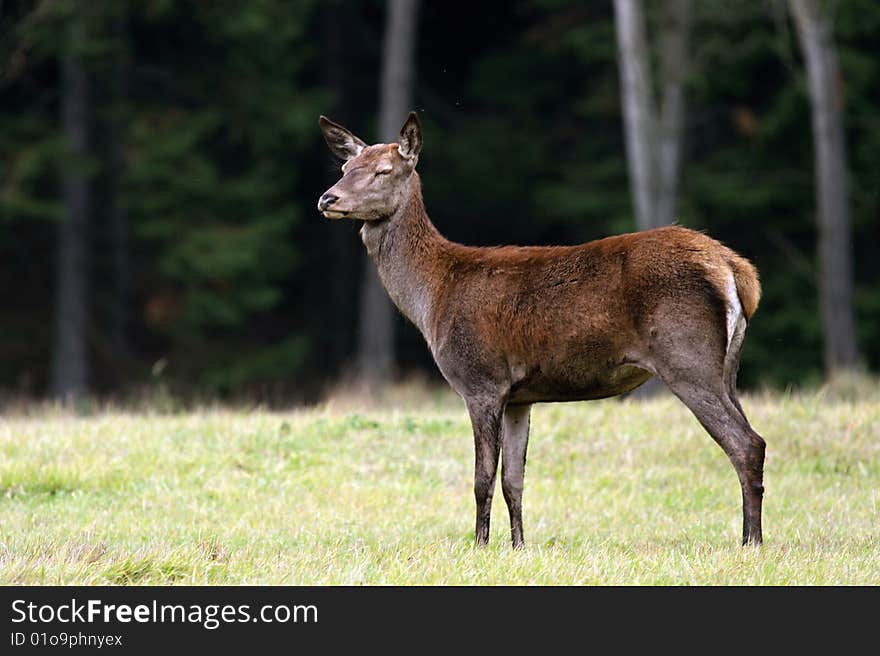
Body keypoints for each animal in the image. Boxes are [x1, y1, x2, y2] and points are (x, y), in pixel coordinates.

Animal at [316, 111, 764, 548]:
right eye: (346, 166)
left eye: (383, 170)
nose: (328, 198)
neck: (435, 296)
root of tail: (736, 271)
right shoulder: (521, 396)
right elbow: (514, 480)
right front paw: (518, 546)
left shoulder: (481, 381)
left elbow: (482, 479)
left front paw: (479, 546)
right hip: (727, 368)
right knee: (751, 438)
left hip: (686, 357)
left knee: (746, 444)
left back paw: (751, 542)